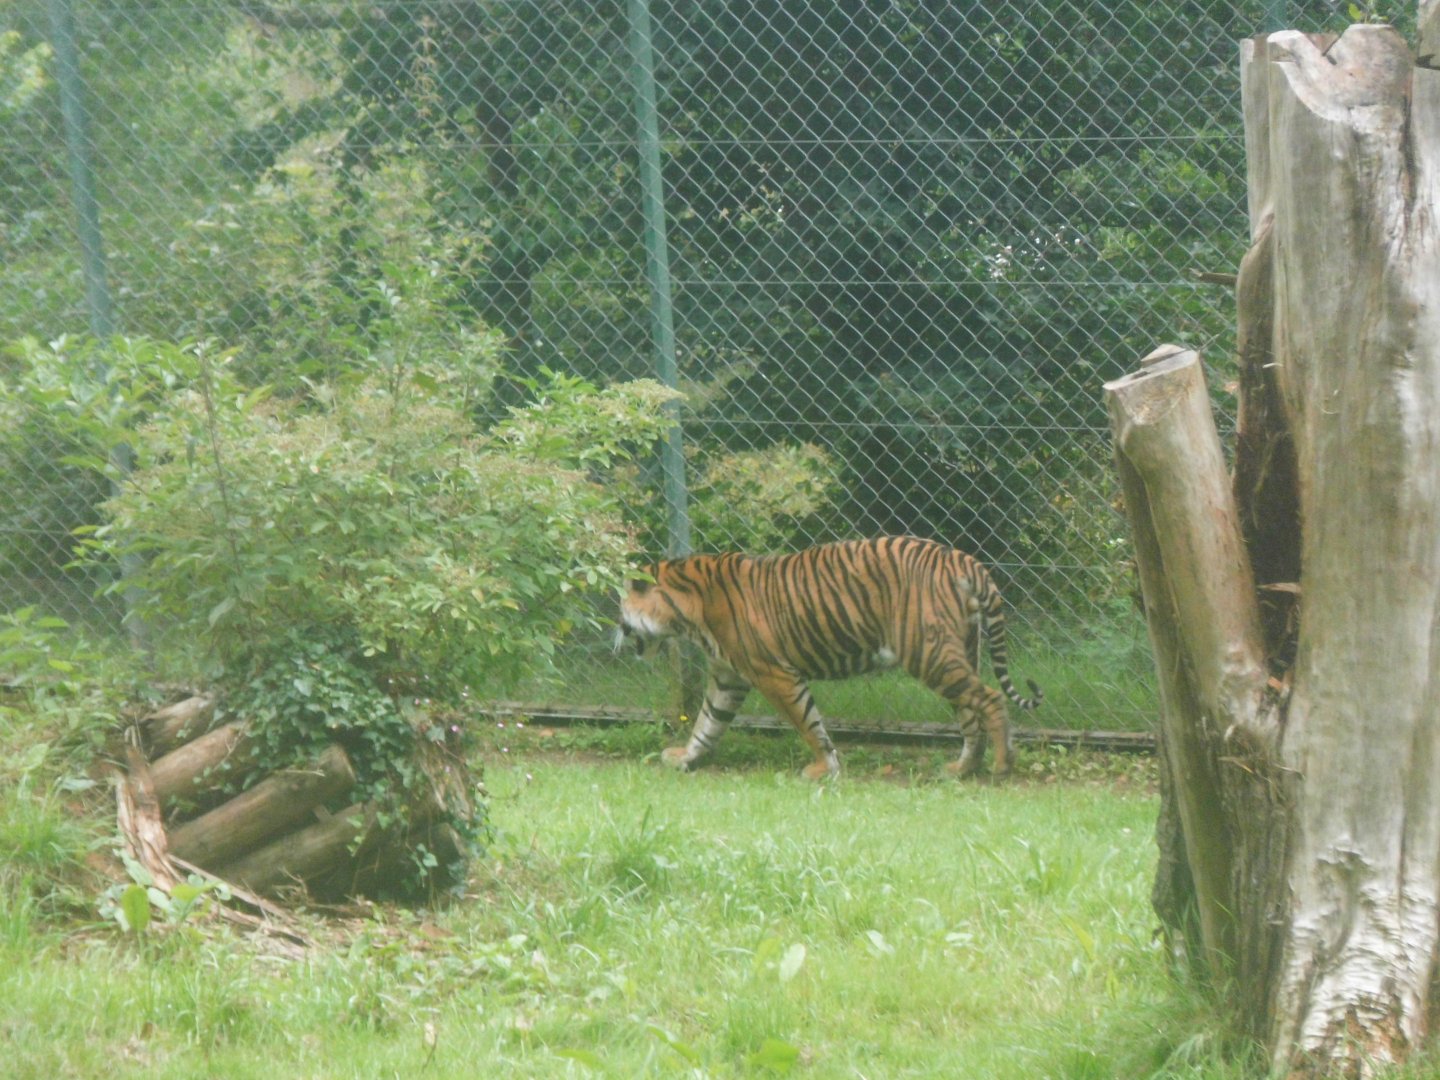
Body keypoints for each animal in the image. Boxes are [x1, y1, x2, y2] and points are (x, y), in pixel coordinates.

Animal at [615, 536, 1042, 780]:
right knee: (970, 713)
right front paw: (685, 758)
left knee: (991, 699)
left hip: (930, 653)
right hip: (958, 652)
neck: (687, 613)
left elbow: (808, 722)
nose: (616, 637)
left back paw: (1002, 766)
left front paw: (823, 768)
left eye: (620, 607)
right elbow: (708, 722)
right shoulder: (728, 677)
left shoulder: (774, 674)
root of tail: (963, 559)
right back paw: (961, 769)